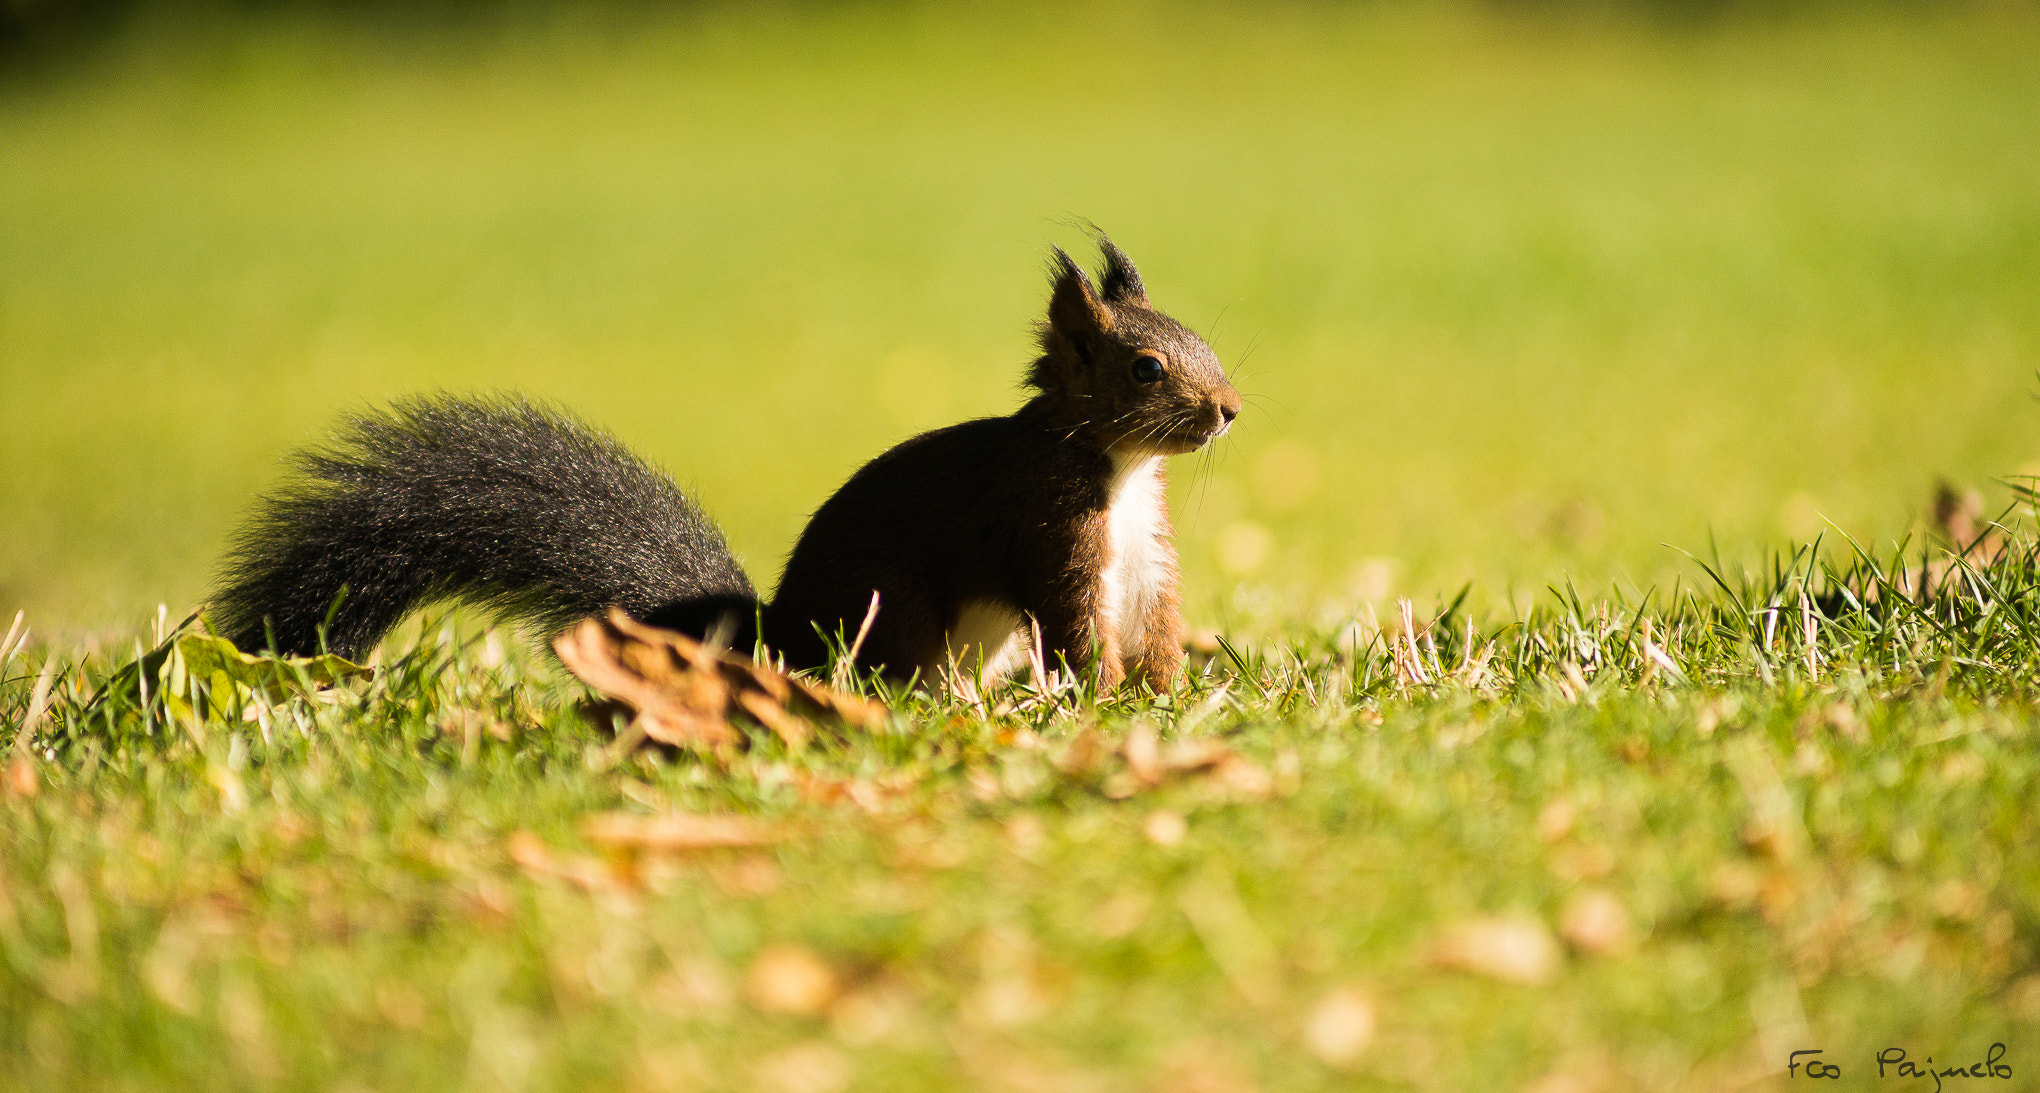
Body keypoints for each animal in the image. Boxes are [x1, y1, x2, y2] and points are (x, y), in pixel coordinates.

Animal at [210, 237, 1242, 691]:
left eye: (1202, 337)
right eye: (1147, 366)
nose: (1230, 410)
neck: (1119, 472)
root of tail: (774, 641)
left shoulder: (1145, 558)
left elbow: (1156, 624)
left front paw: (1167, 697)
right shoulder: (1049, 529)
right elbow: (1074, 626)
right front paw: (1102, 704)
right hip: (899, 613)